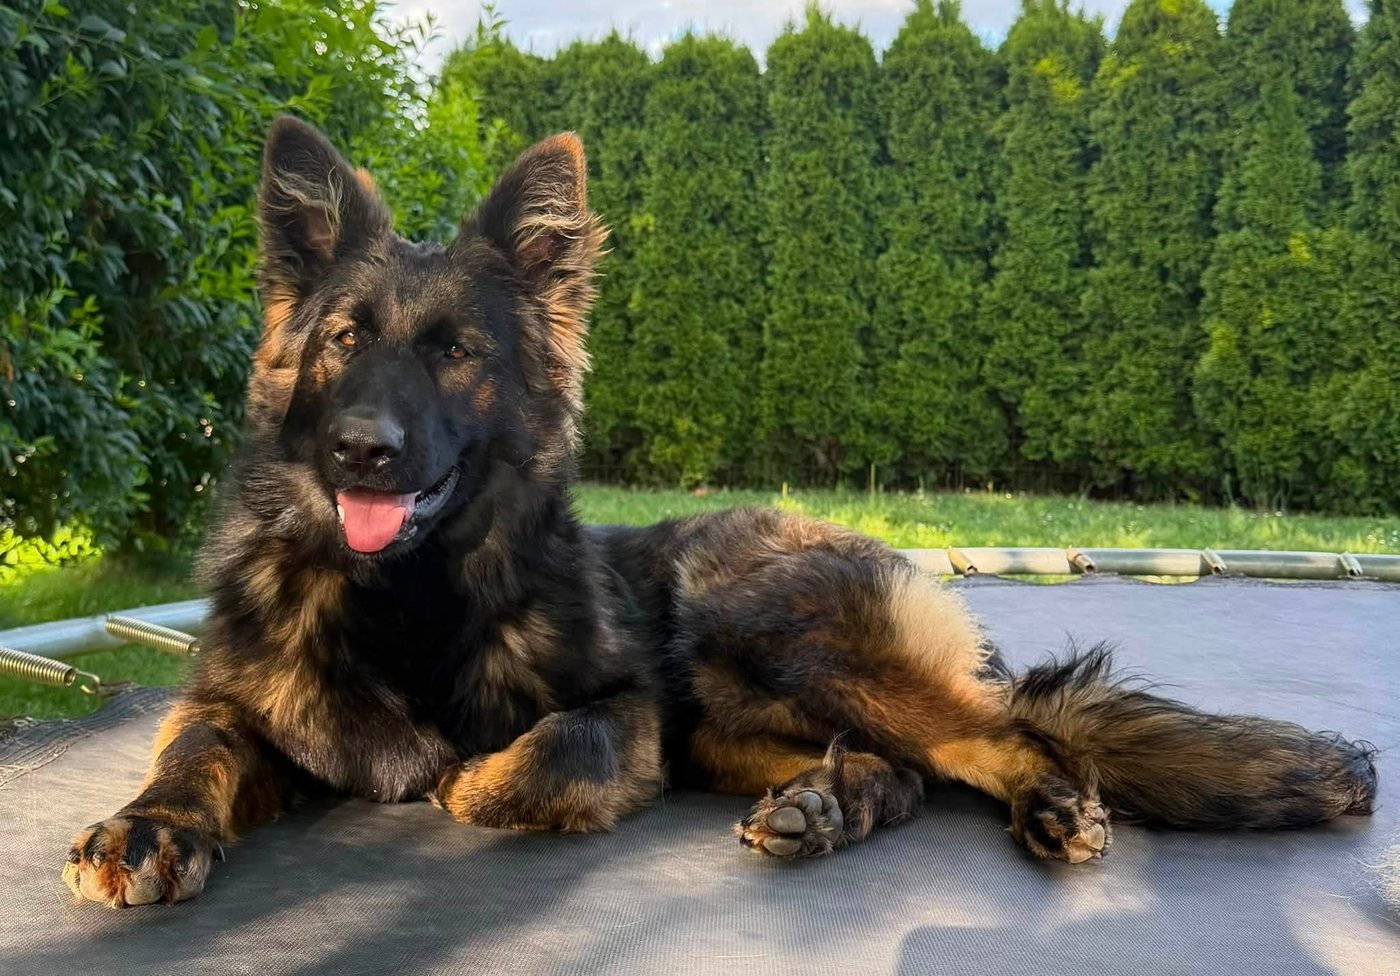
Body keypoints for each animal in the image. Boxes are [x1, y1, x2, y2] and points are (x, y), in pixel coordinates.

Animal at [63, 118, 1377, 907]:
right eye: (342, 340)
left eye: (454, 352)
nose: (362, 452)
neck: (404, 597)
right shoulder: (231, 699)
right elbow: (189, 753)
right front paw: (144, 827)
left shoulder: (626, 708)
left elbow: (520, 762)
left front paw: (454, 776)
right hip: (728, 717)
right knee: (902, 772)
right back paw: (822, 804)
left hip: (745, 629)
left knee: (994, 736)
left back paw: (1044, 798)